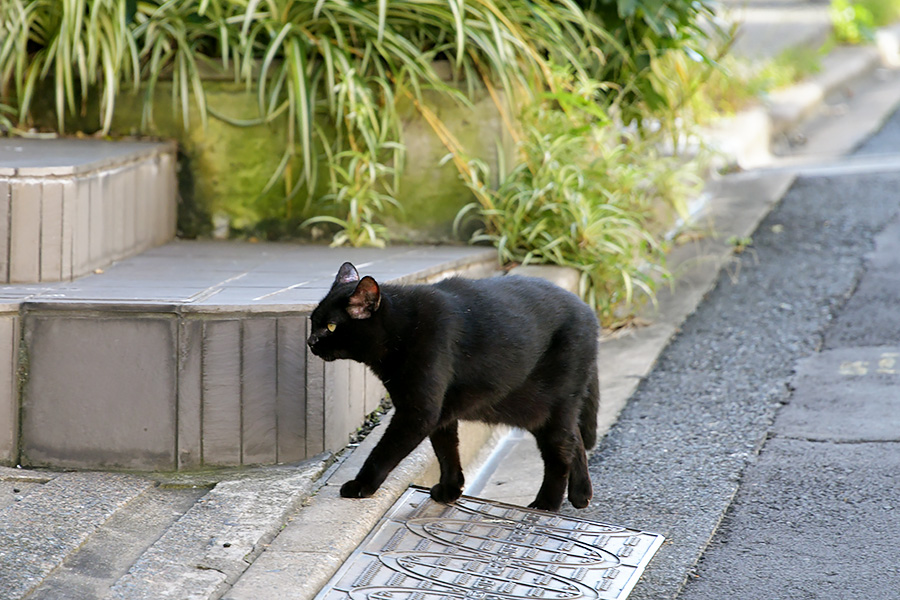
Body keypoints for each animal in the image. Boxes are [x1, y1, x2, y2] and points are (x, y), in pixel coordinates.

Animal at [308, 262, 596, 510]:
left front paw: (361, 485)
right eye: (312, 321)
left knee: (561, 449)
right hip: (527, 406)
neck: (403, 327)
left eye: (331, 326)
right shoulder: (440, 412)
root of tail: (587, 308)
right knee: (574, 437)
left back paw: (547, 504)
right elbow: (446, 451)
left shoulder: (418, 412)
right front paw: (450, 489)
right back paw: (581, 494)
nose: (310, 341)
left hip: (553, 405)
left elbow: (383, 453)